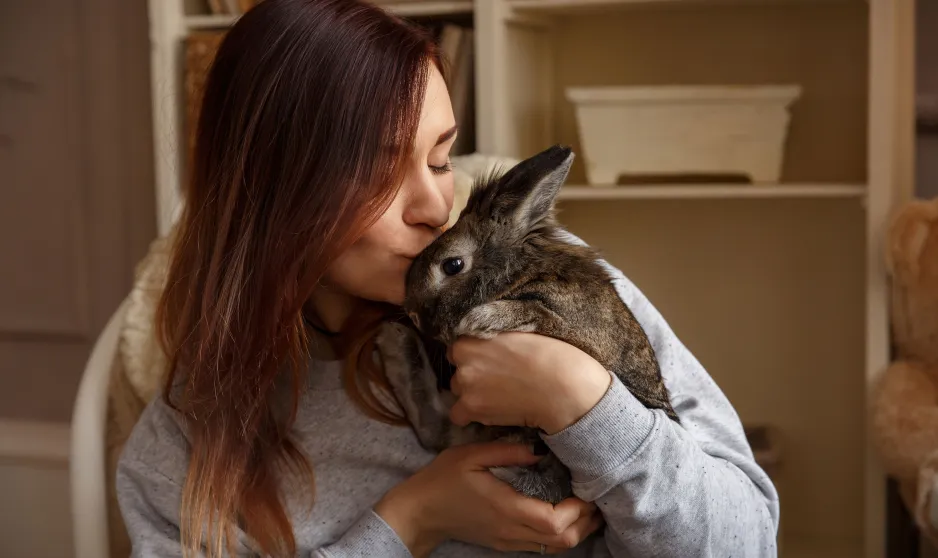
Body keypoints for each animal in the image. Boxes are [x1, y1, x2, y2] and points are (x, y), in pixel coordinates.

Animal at [372, 145, 672, 508]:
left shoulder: (574, 329)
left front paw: (480, 319)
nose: (412, 313)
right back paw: (396, 341)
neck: (516, 273)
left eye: (453, 265)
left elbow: (534, 312)